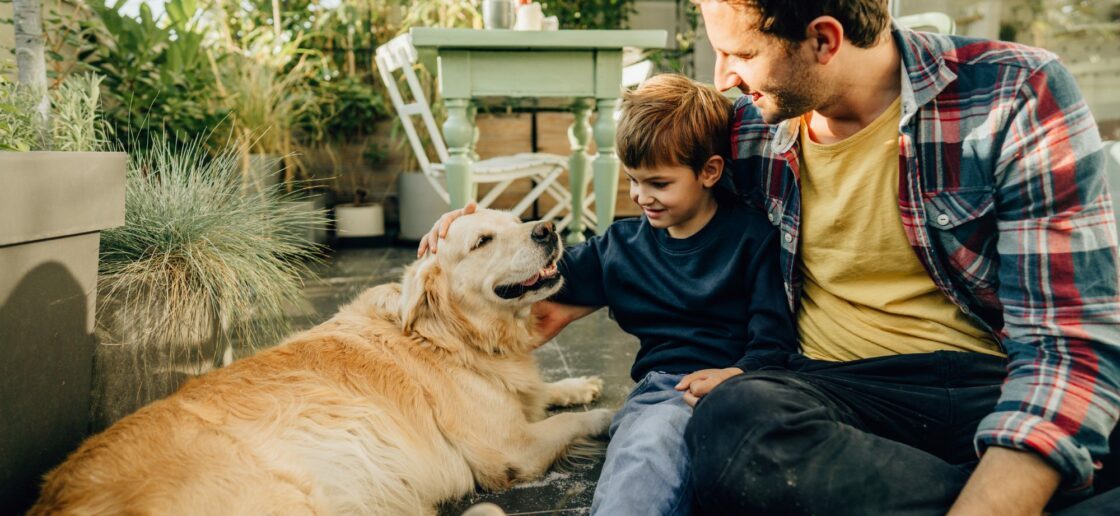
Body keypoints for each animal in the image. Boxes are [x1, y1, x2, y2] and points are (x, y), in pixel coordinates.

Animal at [32, 207, 613, 512]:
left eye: (517, 219)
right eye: (483, 240)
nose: (548, 228)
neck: (451, 336)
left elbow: (544, 392)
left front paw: (579, 384)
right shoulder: (511, 449)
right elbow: (570, 424)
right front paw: (608, 415)